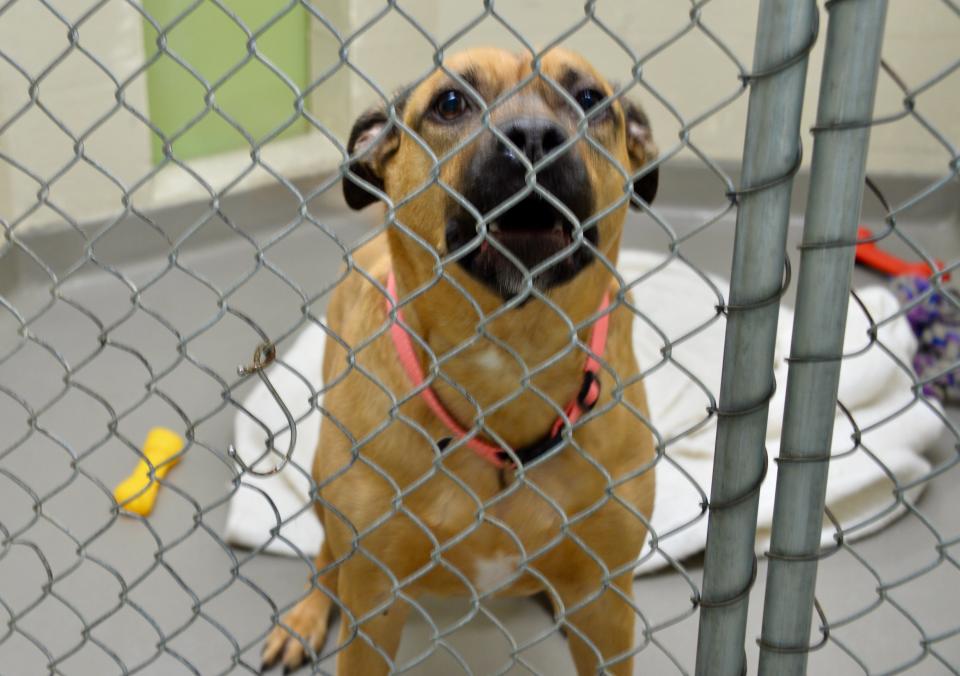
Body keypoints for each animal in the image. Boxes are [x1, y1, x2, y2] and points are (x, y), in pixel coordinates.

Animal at [262, 48, 660, 676]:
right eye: (451, 103)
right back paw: (305, 615)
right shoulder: (374, 604)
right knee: (327, 557)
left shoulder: (608, 609)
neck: (508, 359)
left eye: (590, 99)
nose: (533, 136)